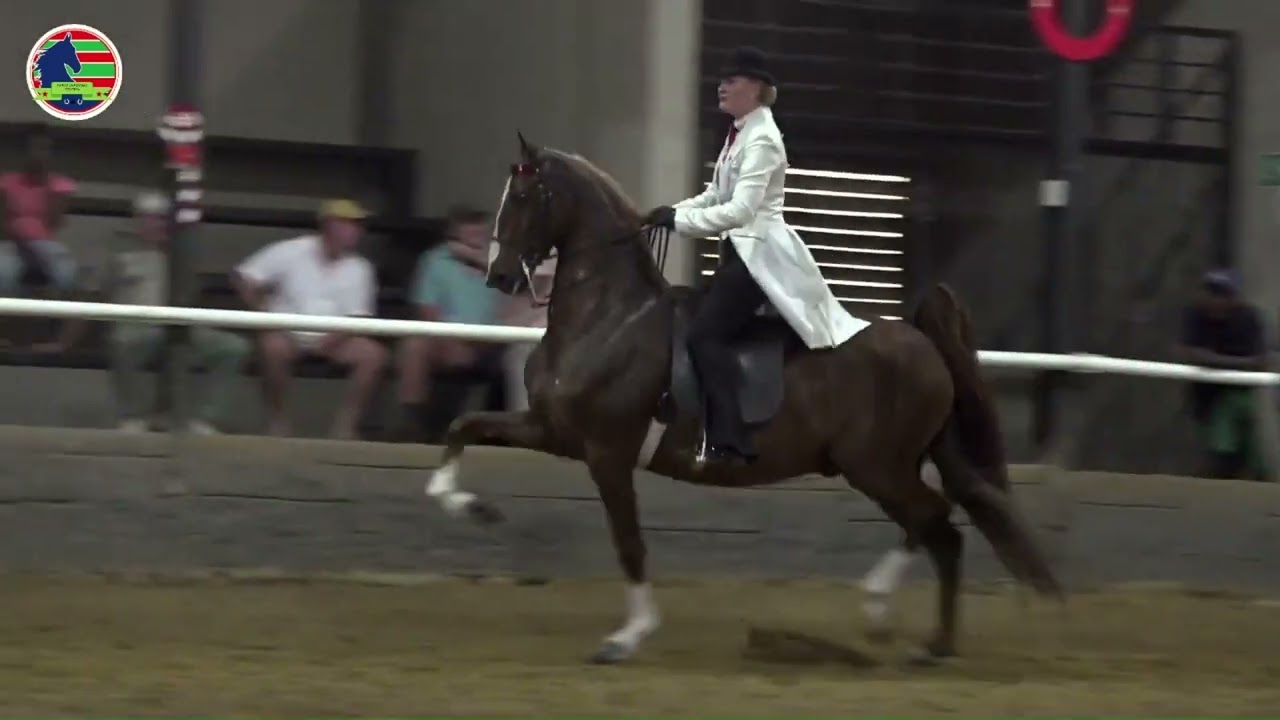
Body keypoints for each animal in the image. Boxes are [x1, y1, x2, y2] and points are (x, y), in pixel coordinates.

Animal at [423, 133, 1062, 665]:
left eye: (525, 195)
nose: (499, 278)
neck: (609, 316)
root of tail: (919, 337)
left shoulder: (606, 453)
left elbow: (629, 544)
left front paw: (628, 637)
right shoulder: (552, 430)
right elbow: (463, 425)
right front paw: (471, 508)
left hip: (875, 466)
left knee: (940, 527)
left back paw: (932, 644)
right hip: (889, 464)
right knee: (932, 522)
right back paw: (887, 616)